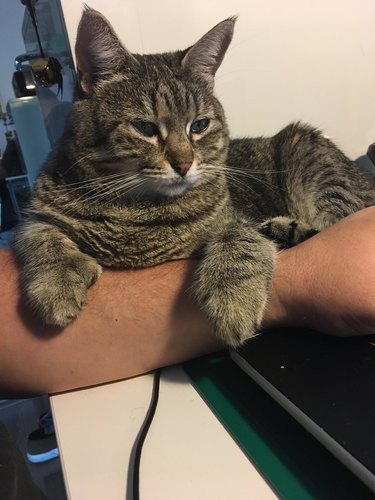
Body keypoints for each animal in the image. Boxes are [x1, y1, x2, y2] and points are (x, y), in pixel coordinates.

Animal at [11, 7, 375, 346]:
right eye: (145, 128)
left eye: (199, 125)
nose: (184, 163)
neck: (134, 213)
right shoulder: (35, 215)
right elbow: (39, 235)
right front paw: (57, 284)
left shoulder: (235, 217)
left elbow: (239, 238)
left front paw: (234, 301)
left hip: (310, 157)